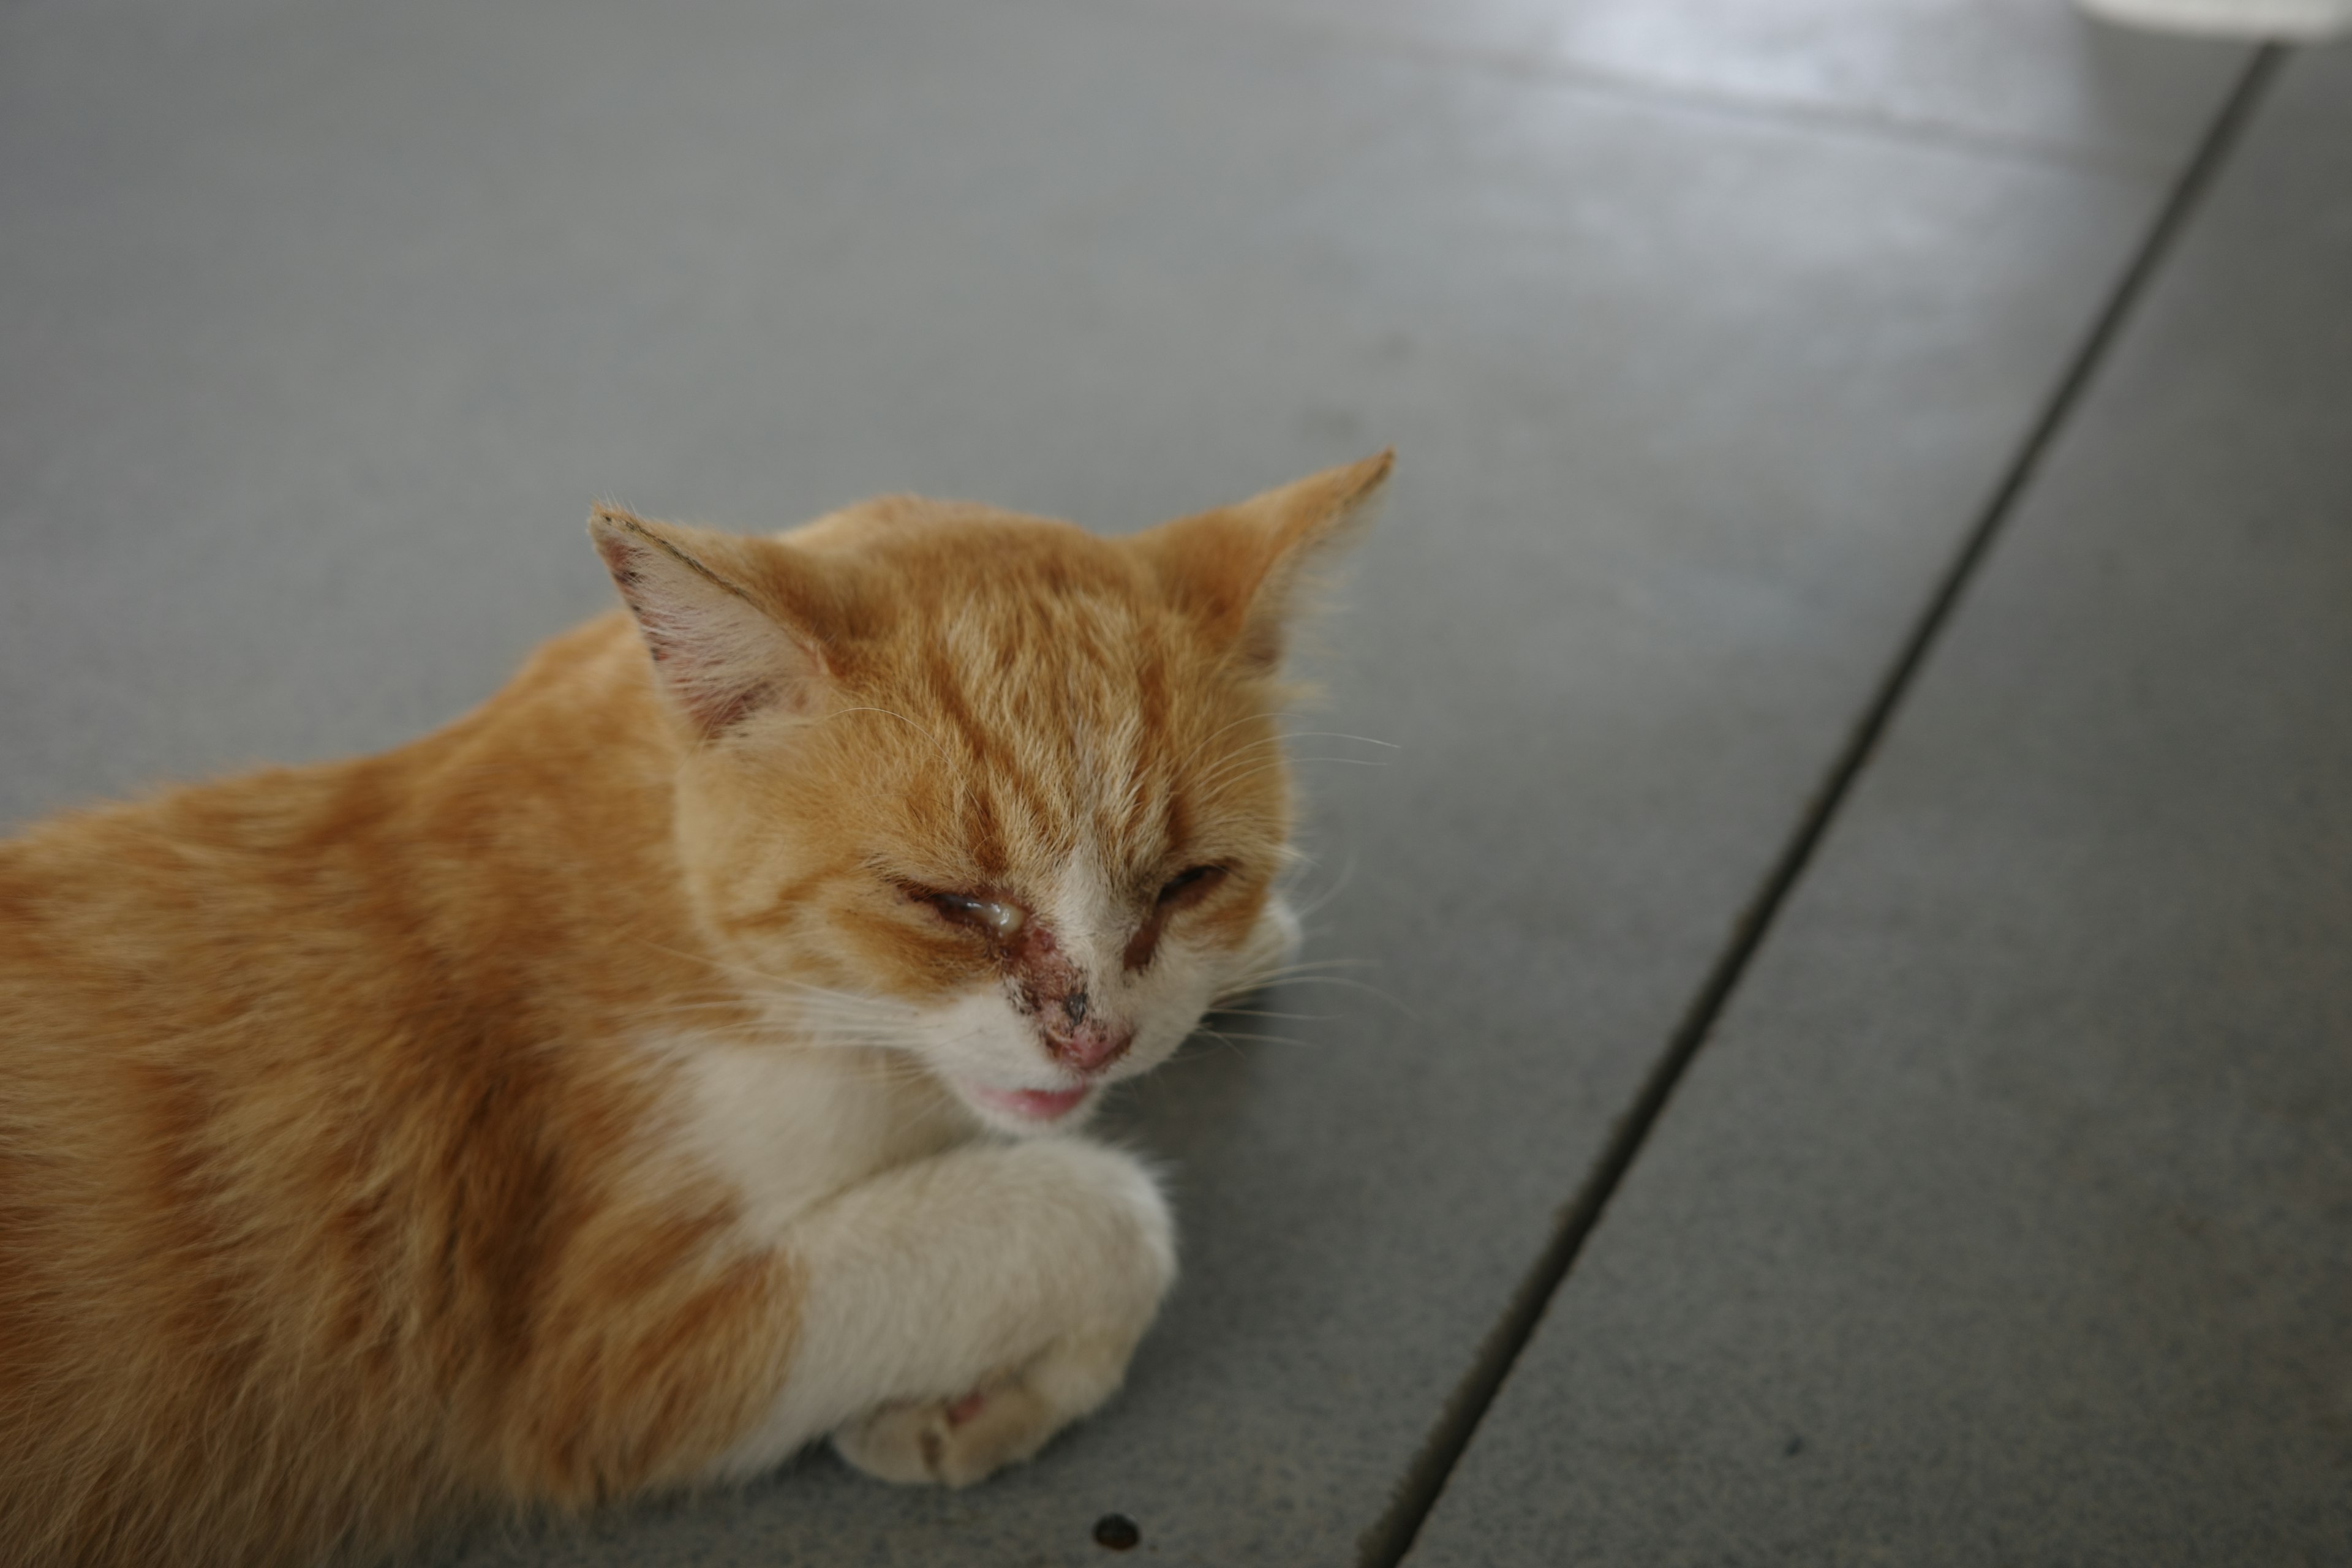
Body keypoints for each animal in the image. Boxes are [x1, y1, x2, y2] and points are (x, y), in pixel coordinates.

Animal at [0, 453, 1382, 1568]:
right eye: (948, 903)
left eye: (1188, 881)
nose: (1092, 1033)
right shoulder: (618, 1348)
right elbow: (1107, 1211)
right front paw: (988, 1392)